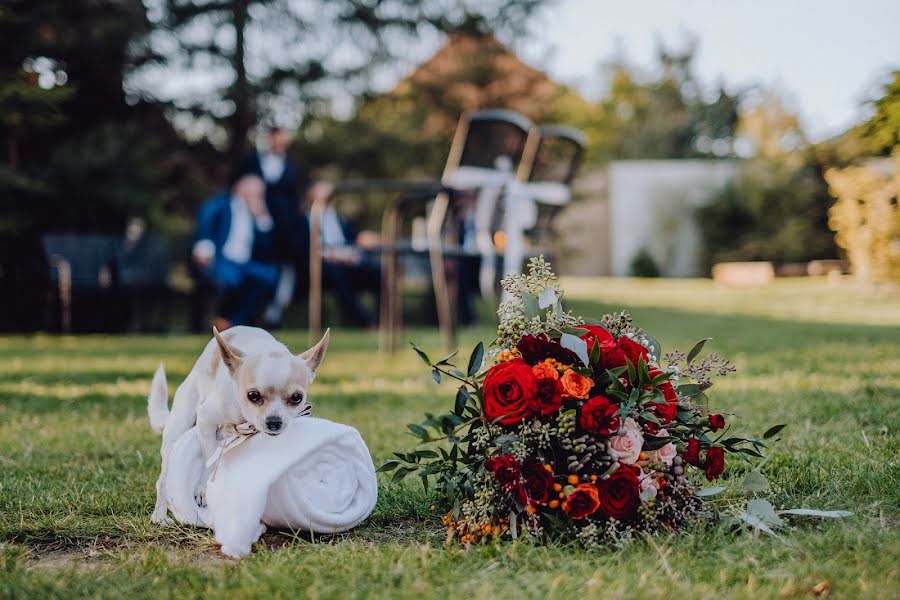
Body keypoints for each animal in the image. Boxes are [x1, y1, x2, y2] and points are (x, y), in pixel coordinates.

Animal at [148, 324, 330, 524]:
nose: (274, 422)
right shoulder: (206, 419)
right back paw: (159, 515)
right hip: (177, 430)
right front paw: (203, 489)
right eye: (253, 395)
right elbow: (209, 460)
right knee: (163, 480)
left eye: (297, 398)